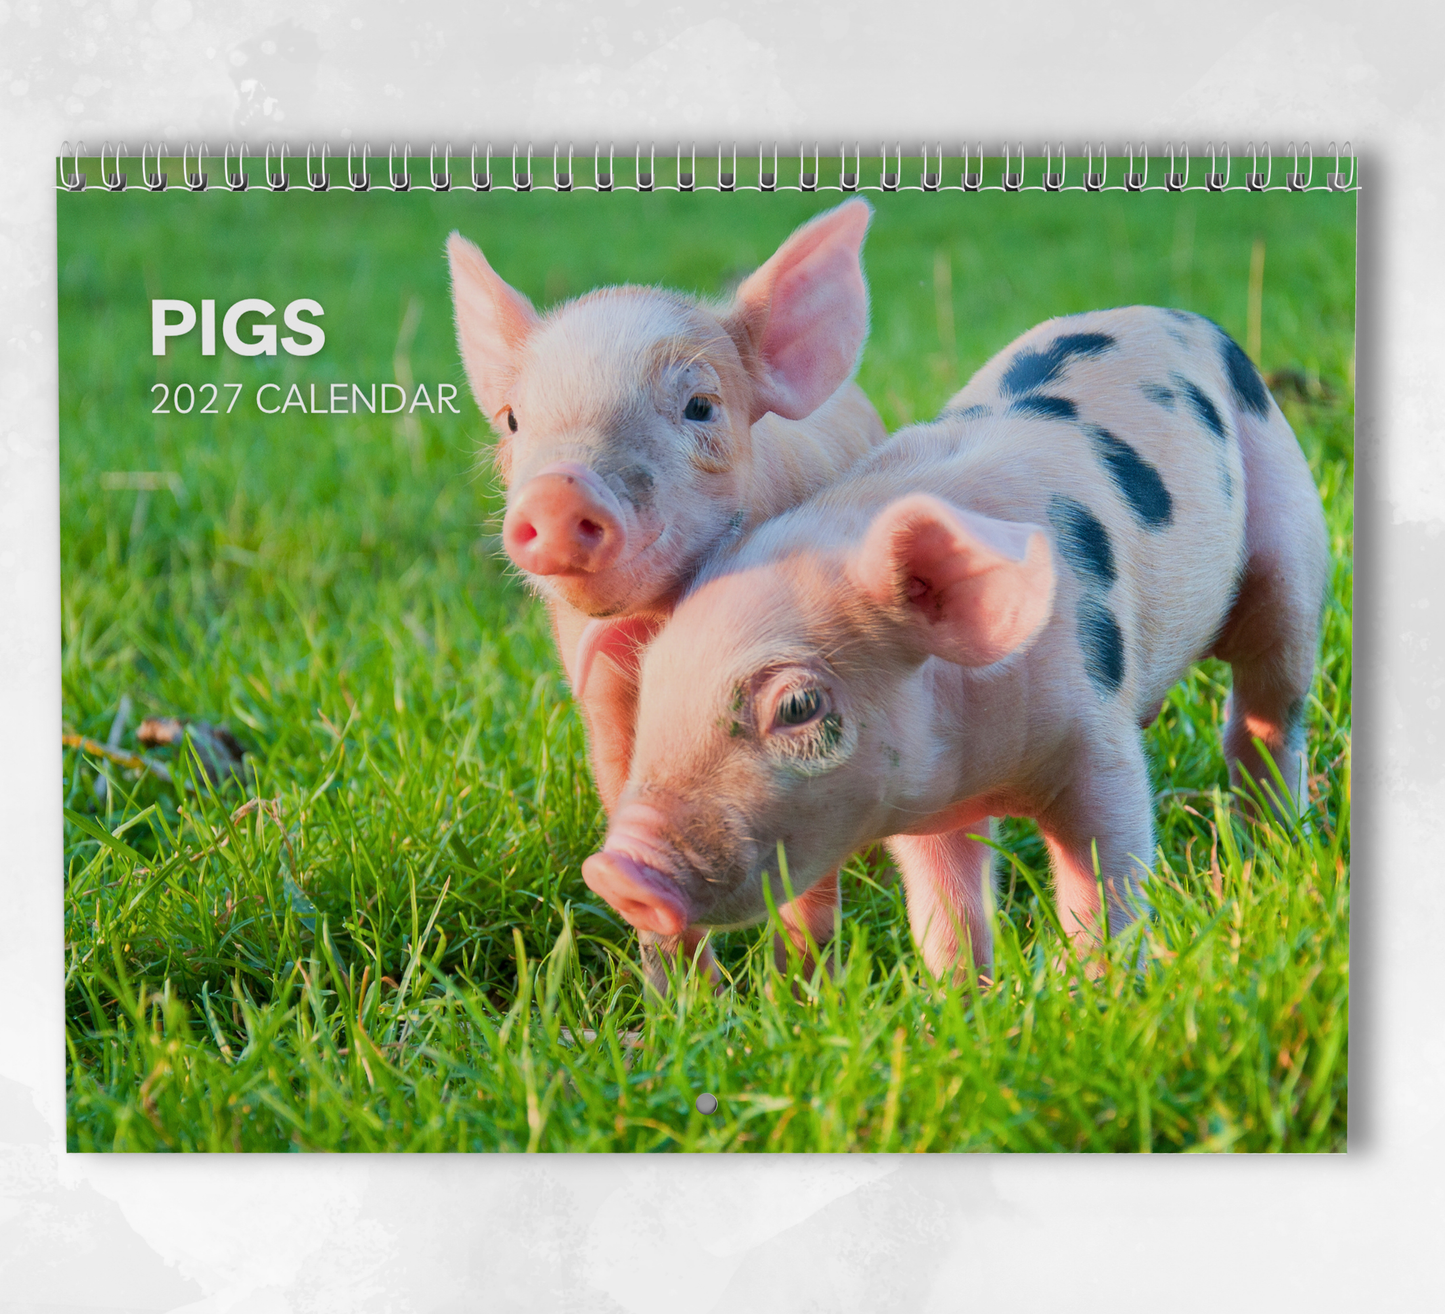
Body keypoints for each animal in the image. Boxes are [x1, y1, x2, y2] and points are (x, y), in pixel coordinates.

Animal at [446, 200, 887, 980]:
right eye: (514, 419)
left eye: (700, 406)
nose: (559, 489)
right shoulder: (596, 689)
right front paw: (682, 994)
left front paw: (802, 988)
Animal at [582, 307, 1330, 980]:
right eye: (653, 692)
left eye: (798, 707)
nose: (615, 871)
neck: (988, 774)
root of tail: (1187, 319)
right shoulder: (919, 798)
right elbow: (945, 908)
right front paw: (961, 1000)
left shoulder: (1098, 737)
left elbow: (1104, 878)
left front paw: (1103, 993)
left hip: (1291, 544)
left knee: (1268, 708)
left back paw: (1273, 843)